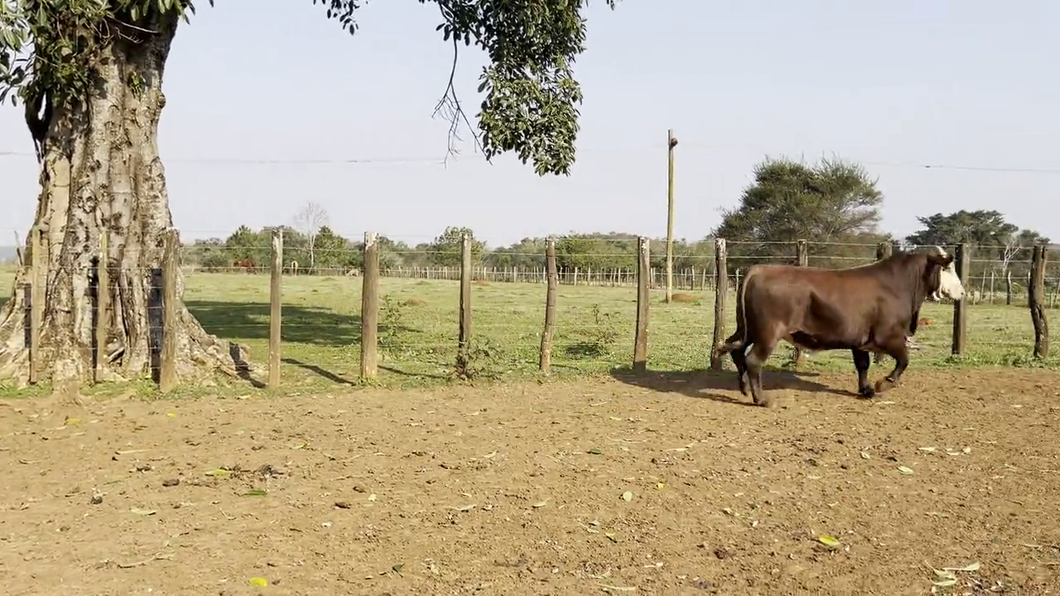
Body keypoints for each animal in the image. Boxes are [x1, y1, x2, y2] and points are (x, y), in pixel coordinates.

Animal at [716, 243, 966, 405]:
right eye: (948, 268)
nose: (962, 292)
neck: (898, 285)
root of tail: (760, 268)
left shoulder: (859, 340)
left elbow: (863, 365)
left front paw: (866, 390)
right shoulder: (889, 337)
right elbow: (904, 360)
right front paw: (882, 384)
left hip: (748, 329)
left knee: (736, 351)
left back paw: (744, 388)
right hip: (768, 332)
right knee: (753, 360)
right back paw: (761, 399)